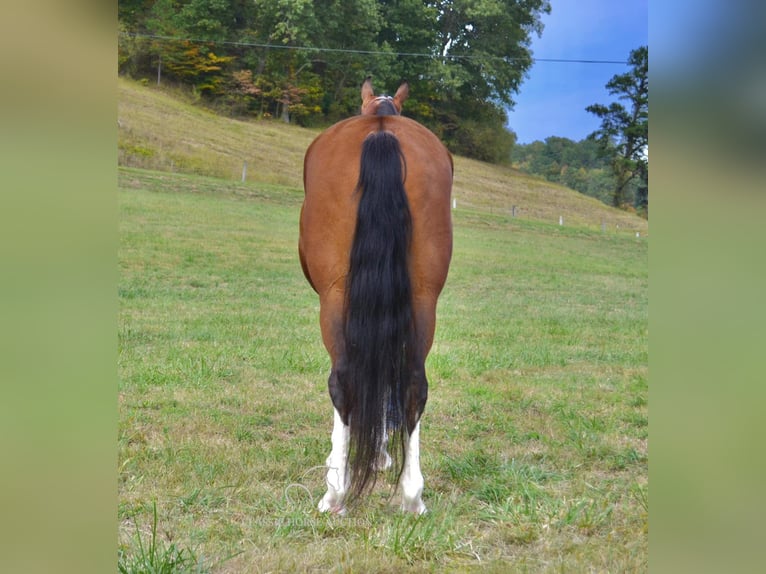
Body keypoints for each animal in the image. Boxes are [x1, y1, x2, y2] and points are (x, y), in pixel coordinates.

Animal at [300, 79, 456, 516]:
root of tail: (381, 131)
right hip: (422, 298)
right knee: (413, 384)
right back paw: (412, 496)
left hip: (336, 297)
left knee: (344, 381)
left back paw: (335, 491)